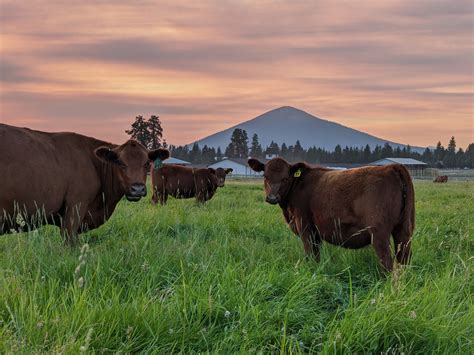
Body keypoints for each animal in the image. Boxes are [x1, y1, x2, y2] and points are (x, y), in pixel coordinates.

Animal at [248, 157, 414, 272]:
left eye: (285, 178)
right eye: (265, 176)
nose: (272, 198)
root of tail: (391, 167)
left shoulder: (305, 227)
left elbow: (310, 254)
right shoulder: (316, 233)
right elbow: (316, 255)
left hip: (379, 234)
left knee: (387, 264)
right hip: (404, 231)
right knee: (404, 261)